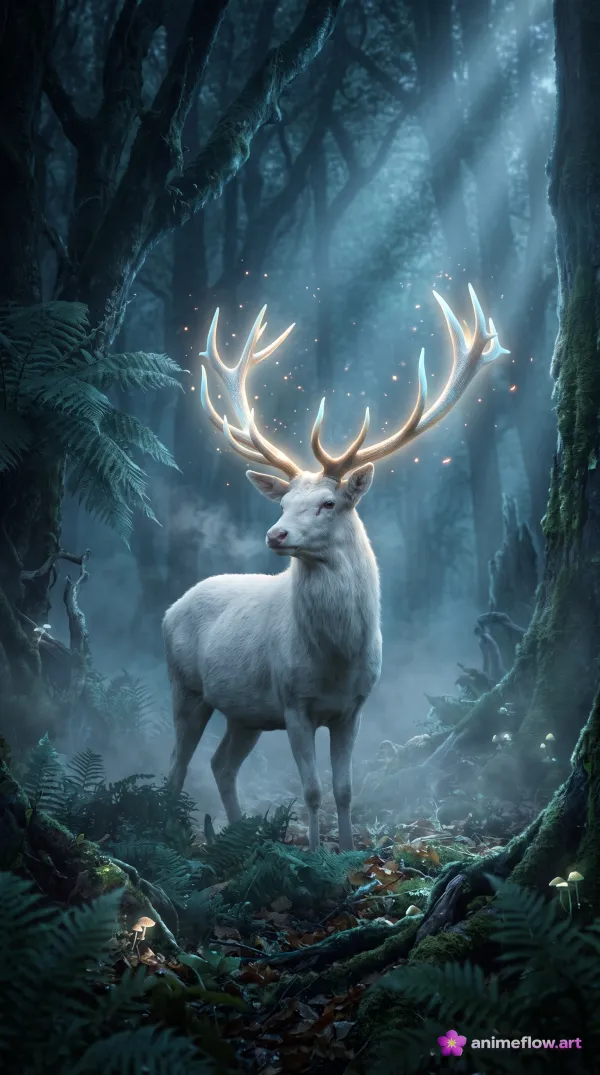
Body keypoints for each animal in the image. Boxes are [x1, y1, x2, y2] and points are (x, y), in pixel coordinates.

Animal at [163, 286, 508, 850]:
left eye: (328, 503)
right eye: (283, 503)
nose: (276, 535)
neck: (335, 660)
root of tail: (170, 609)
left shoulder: (354, 707)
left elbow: (345, 790)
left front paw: (347, 854)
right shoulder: (293, 703)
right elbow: (312, 791)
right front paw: (316, 858)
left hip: (245, 712)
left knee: (220, 764)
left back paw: (239, 838)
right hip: (185, 687)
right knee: (177, 765)